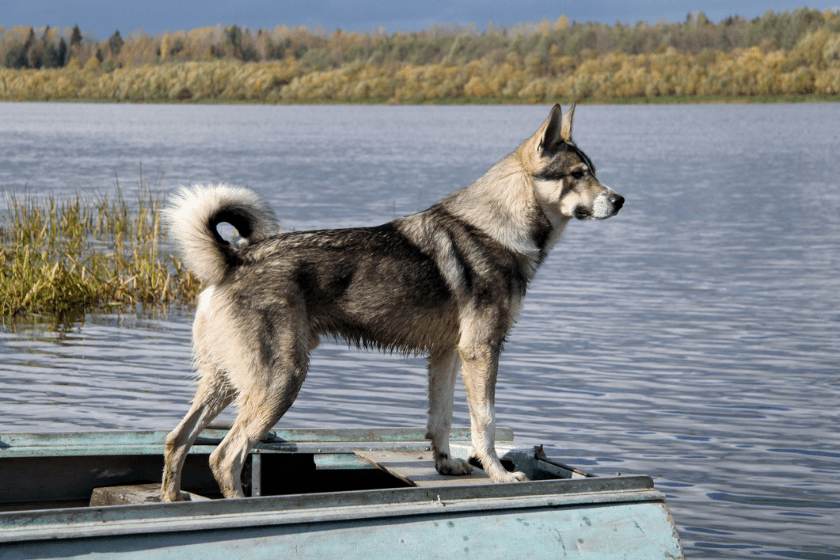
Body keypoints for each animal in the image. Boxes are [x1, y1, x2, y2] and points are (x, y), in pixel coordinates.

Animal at [162, 104, 624, 498]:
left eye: (593, 173)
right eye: (578, 174)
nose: (620, 200)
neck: (500, 225)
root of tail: (233, 259)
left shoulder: (447, 354)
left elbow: (442, 420)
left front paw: (446, 465)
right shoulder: (482, 351)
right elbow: (485, 424)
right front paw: (499, 474)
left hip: (226, 382)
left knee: (177, 440)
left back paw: (174, 500)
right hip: (280, 380)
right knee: (225, 456)